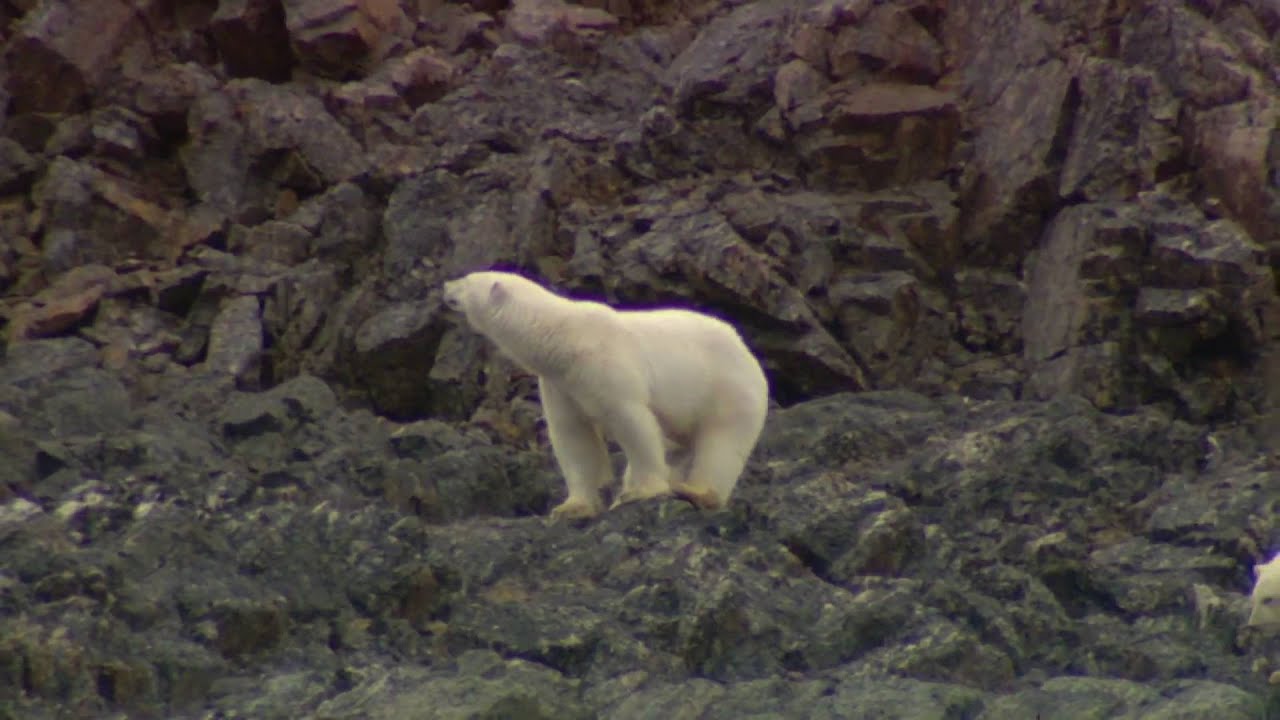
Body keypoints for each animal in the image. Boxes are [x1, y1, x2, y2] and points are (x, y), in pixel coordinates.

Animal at [442, 270, 769, 520]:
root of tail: (748, 351)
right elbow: (574, 436)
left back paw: (695, 491)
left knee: (722, 442)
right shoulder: (561, 383)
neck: (564, 337)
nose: (445, 285)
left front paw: (640, 492)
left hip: (728, 387)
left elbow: (631, 420)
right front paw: (571, 508)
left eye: (468, 279)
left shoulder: (605, 362)